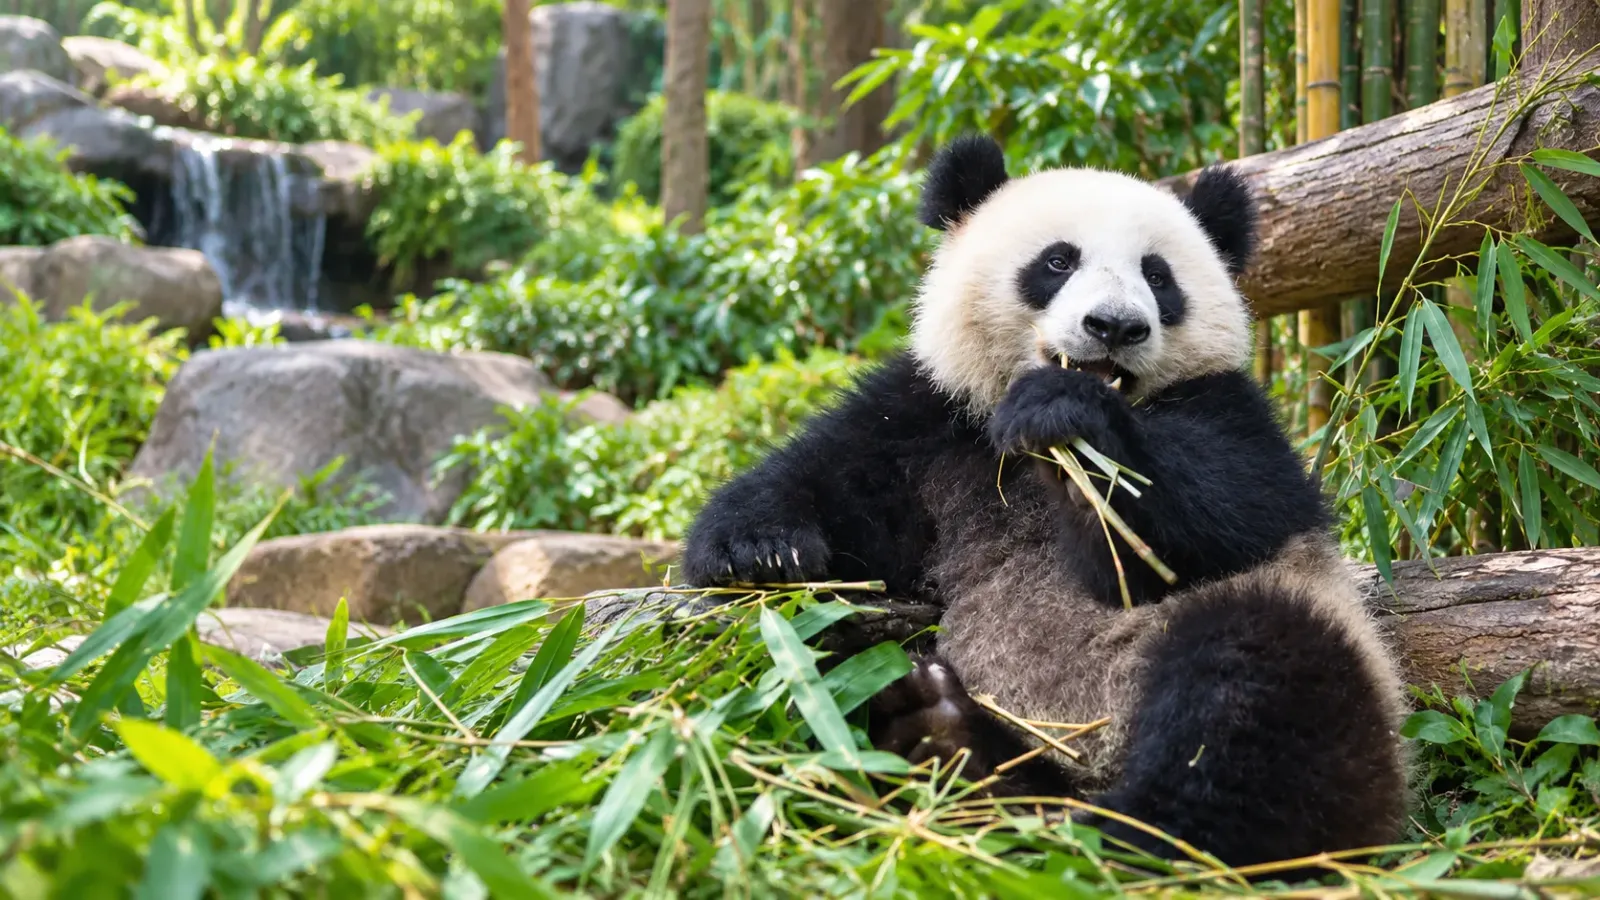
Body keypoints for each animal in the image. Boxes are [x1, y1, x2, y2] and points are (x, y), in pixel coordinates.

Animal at [681, 134, 1409, 868]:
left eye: (1159, 277)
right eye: (1058, 261)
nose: (1115, 326)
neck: (1017, 450)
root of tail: (1088, 763)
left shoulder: (1231, 409)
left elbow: (1219, 510)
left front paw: (1069, 417)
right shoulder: (931, 421)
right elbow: (830, 486)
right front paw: (761, 550)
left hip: (1311, 650)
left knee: (1249, 699)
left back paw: (1098, 827)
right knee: (833, 650)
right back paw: (945, 739)